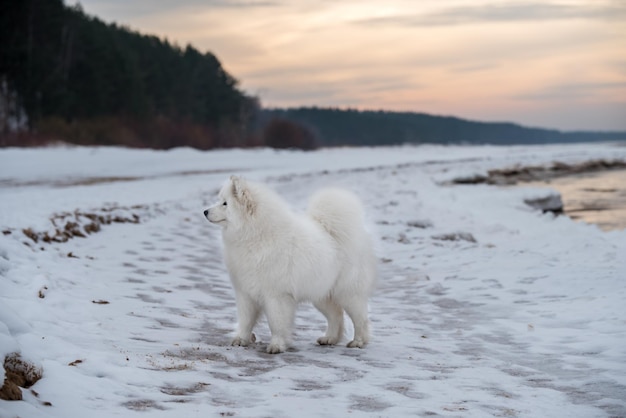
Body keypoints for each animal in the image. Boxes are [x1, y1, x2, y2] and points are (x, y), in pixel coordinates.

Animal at [204, 175, 376, 354]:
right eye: (220, 200)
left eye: (225, 203)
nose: (205, 211)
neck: (256, 235)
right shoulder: (245, 293)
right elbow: (245, 320)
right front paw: (240, 339)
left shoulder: (276, 296)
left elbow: (276, 323)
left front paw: (277, 345)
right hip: (321, 294)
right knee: (336, 315)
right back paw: (329, 338)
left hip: (348, 293)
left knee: (360, 319)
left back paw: (358, 342)